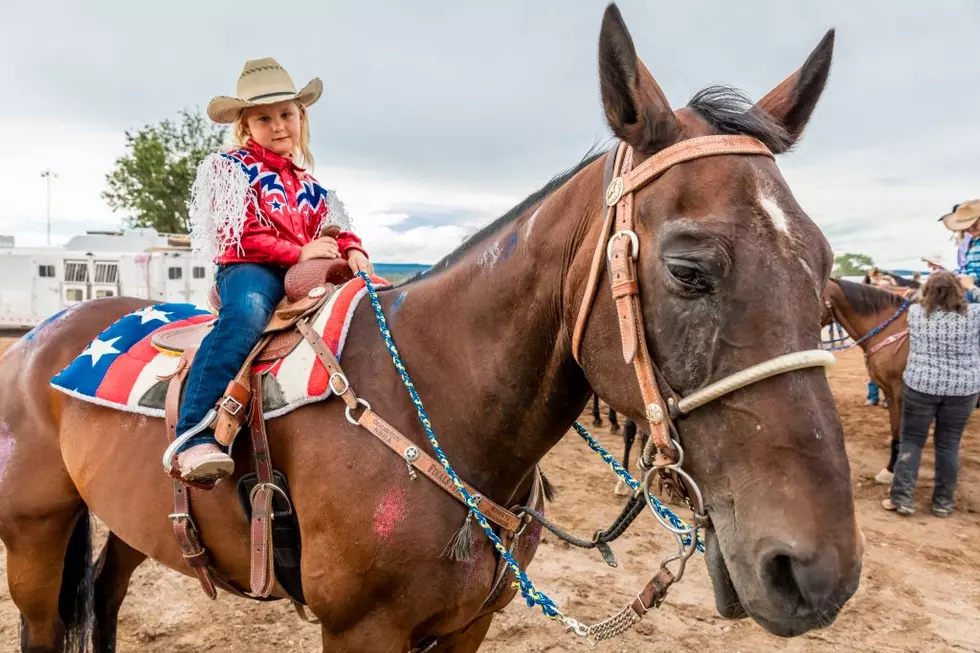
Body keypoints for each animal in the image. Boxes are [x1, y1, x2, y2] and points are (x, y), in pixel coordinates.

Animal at [0, 6, 860, 652]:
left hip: (129, 521)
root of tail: (41, 339)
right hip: (34, 536)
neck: (442, 406)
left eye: (825, 271)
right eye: (687, 268)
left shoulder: (468, 625)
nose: (816, 572)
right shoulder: (361, 632)